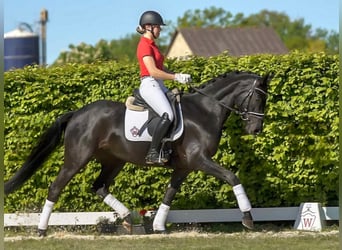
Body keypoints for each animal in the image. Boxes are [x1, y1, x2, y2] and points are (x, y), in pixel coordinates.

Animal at [4, 71, 272, 235]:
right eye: (258, 98)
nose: (256, 129)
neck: (204, 111)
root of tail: (77, 113)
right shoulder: (200, 160)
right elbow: (232, 177)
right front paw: (248, 218)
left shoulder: (184, 166)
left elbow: (169, 194)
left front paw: (158, 225)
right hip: (77, 158)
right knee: (55, 187)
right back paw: (41, 230)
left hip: (113, 160)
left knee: (99, 186)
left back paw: (127, 218)